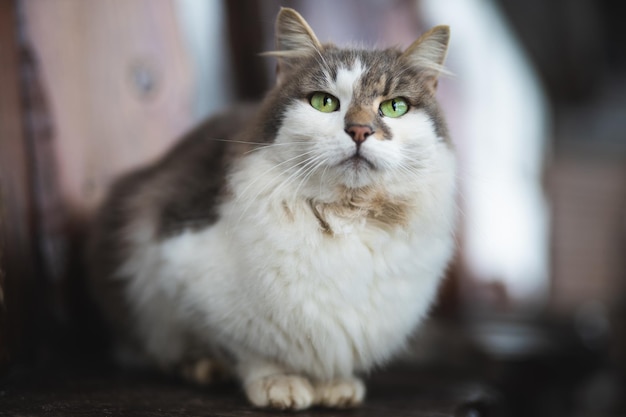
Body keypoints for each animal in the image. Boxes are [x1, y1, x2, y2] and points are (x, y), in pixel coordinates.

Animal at [86, 6, 454, 410]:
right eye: (324, 102)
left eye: (394, 107)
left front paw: (333, 385)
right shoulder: (181, 266)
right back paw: (204, 368)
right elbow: (252, 349)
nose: (359, 131)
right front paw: (280, 384)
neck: (347, 215)